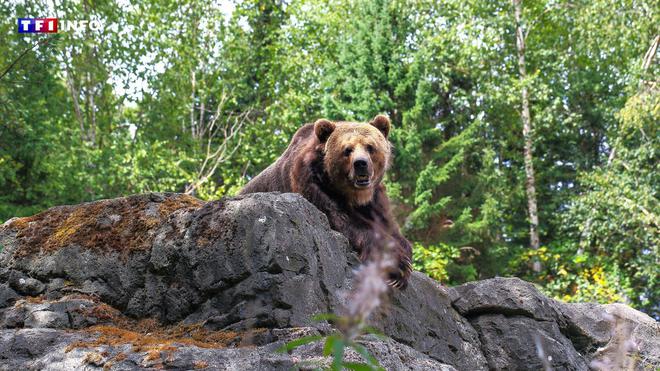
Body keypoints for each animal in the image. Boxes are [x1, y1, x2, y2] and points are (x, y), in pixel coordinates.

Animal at [237, 115, 412, 290]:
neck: (354, 195)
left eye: (370, 147)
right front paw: (398, 266)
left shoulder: (374, 200)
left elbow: (387, 224)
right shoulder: (311, 185)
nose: (360, 163)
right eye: (347, 149)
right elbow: (342, 219)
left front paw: (404, 256)